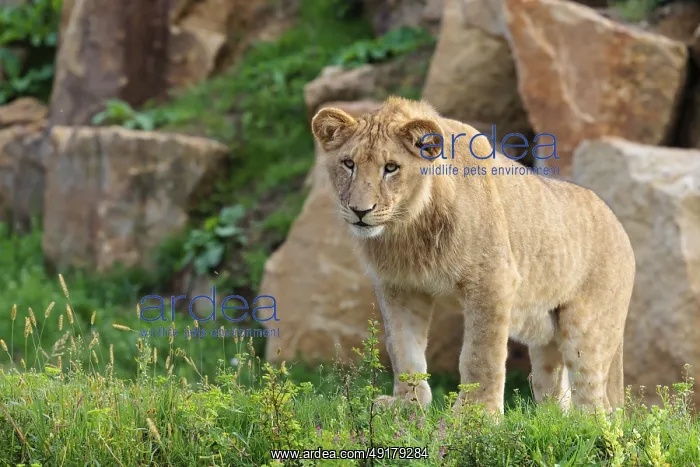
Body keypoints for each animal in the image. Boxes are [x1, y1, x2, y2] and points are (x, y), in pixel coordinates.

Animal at [311, 96, 635, 414]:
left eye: (391, 168)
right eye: (348, 164)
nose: (360, 211)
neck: (408, 229)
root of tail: (621, 229)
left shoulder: (492, 281)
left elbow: (480, 355)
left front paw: (477, 414)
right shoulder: (399, 287)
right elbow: (403, 347)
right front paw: (406, 406)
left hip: (588, 328)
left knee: (599, 405)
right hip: (546, 334)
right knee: (554, 394)